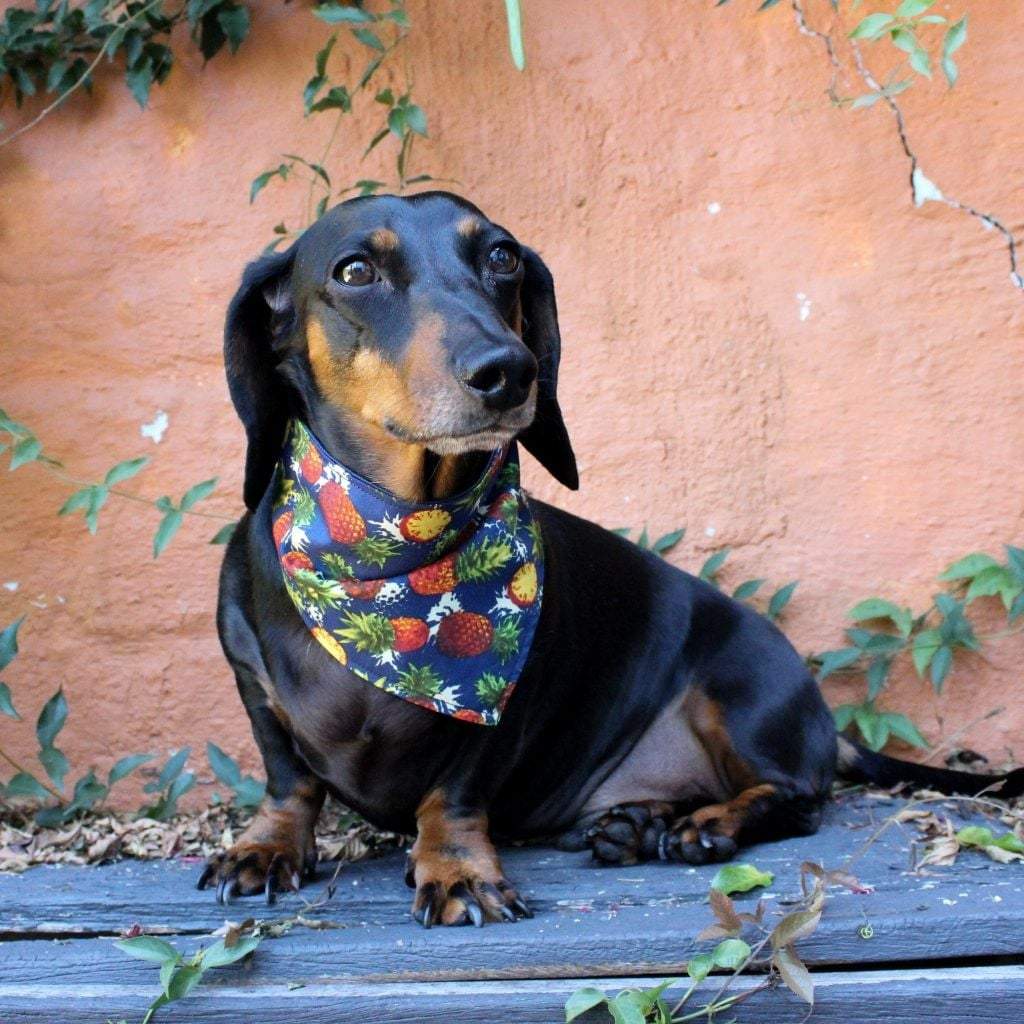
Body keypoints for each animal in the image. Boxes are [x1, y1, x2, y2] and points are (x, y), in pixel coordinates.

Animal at [199, 192, 1024, 929]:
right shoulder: (252, 686)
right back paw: (632, 824)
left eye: (500, 256)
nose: (509, 370)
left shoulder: (503, 704)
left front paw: (458, 869)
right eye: (355, 270)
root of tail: (822, 720)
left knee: (797, 797)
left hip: (739, 686)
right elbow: (289, 782)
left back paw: (706, 826)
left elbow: (453, 793)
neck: (396, 546)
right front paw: (267, 847)